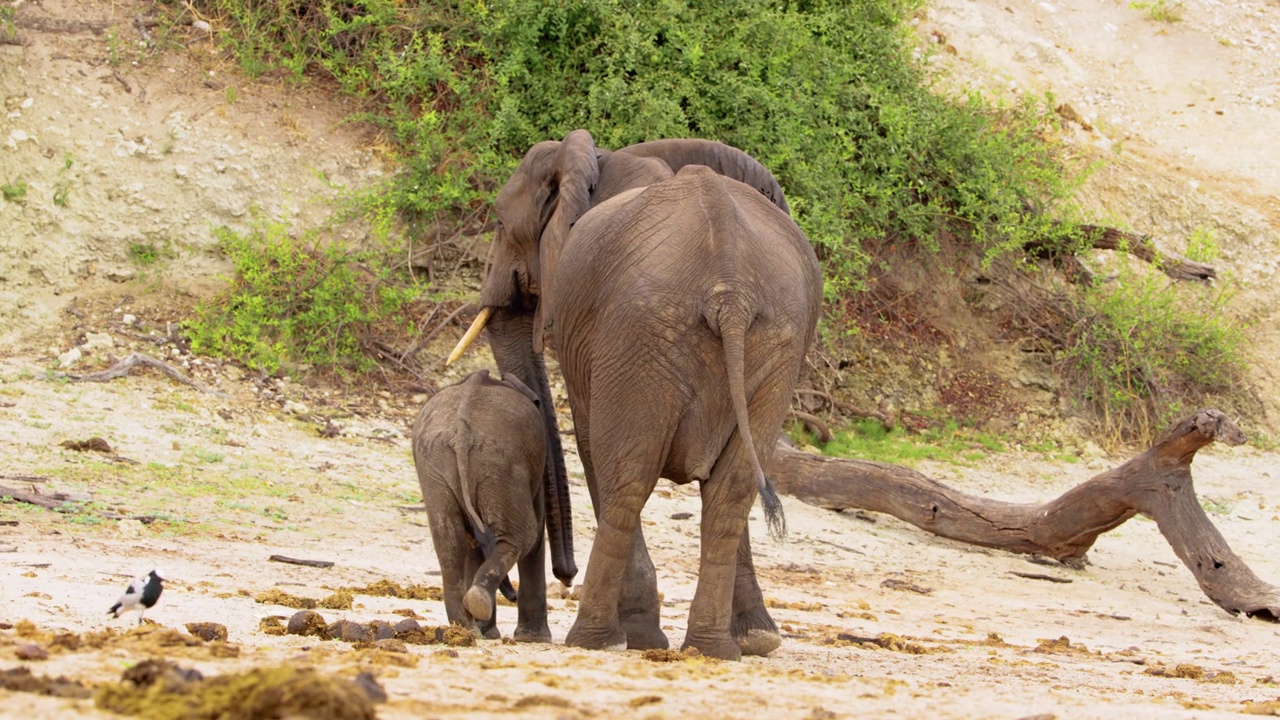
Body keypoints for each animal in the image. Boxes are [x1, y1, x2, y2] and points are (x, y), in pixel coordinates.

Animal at [409, 368, 550, 638]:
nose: (512, 596)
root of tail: (461, 433)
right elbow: (537, 531)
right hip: (498, 464)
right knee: (523, 534)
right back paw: (477, 606)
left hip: (440, 465)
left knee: (449, 540)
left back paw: (468, 627)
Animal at [450, 128, 819, 655]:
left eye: (500, 223)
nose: (566, 575)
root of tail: (729, 290)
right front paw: (758, 639)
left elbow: (592, 447)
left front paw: (640, 633)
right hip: (773, 346)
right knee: (732, 492)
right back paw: (711, 648)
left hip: (642, 333)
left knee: (626, 478)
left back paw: (595, 639)